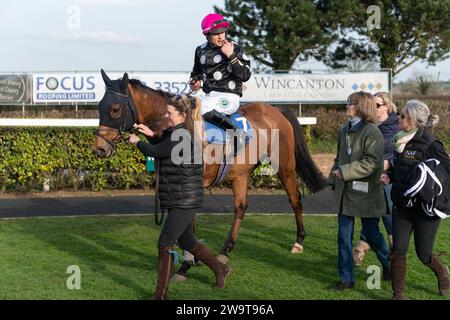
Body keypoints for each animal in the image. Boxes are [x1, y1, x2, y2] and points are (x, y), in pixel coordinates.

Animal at [94, 70, 326, 268]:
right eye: (99, 107)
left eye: (115, 109)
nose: (99, 149)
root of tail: (275, 110)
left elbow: (189, 219)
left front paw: (189, 257)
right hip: (240, 174)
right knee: (240, 208)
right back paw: (226, 250)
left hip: (285, 167)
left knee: (295, 199)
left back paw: (299, 241)